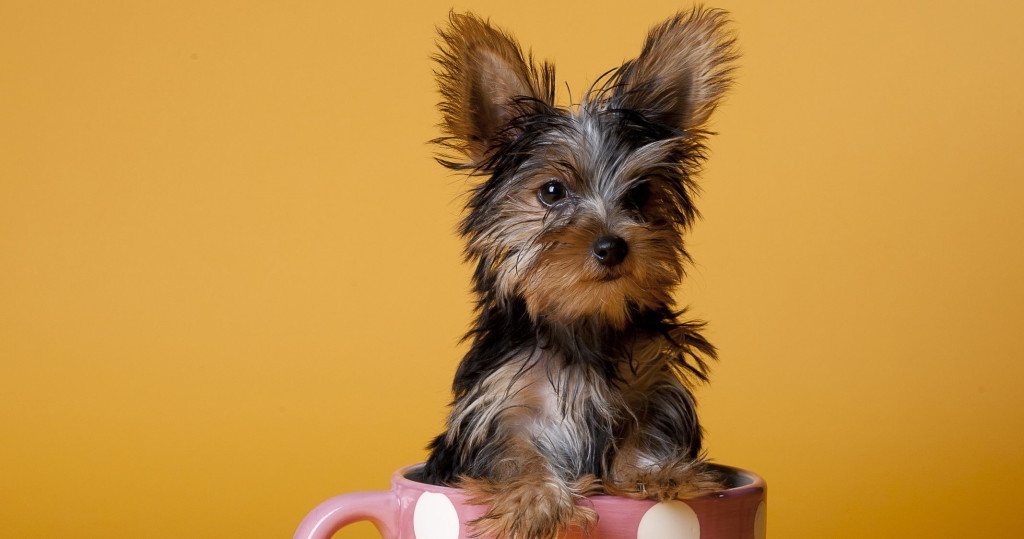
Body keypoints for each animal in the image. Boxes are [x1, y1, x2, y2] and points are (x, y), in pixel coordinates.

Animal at [419, 8, 741, 539]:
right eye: (552, 191)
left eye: (640, 195)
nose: (613, 245)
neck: (582, 322)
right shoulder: (497, 406)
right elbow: (514, 453)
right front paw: (534, 502)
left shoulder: (653, 385)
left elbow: (647, 428)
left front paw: (659, 470)